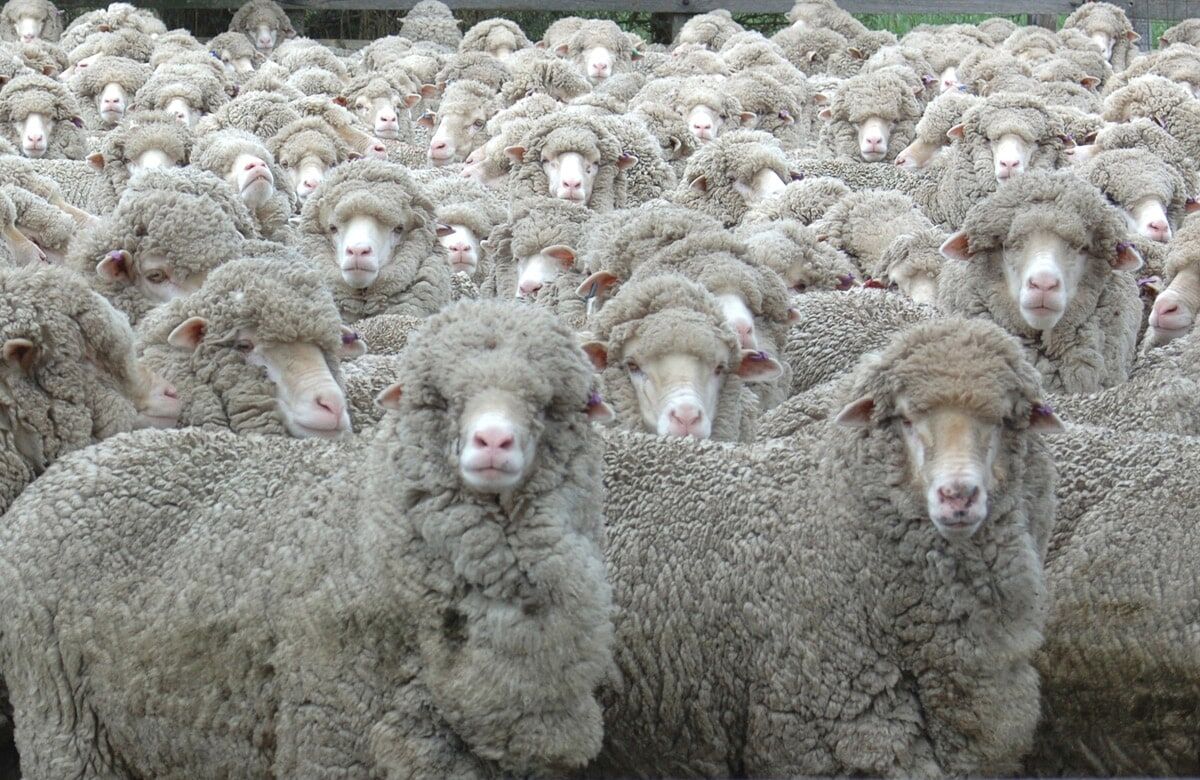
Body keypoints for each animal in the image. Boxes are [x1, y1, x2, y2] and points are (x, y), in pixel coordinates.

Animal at [0, 298, 615, 779]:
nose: (492, 442)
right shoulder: (330, 734)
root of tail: (71, 469)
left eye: (558, 404)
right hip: (63, 719)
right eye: (437, 399)